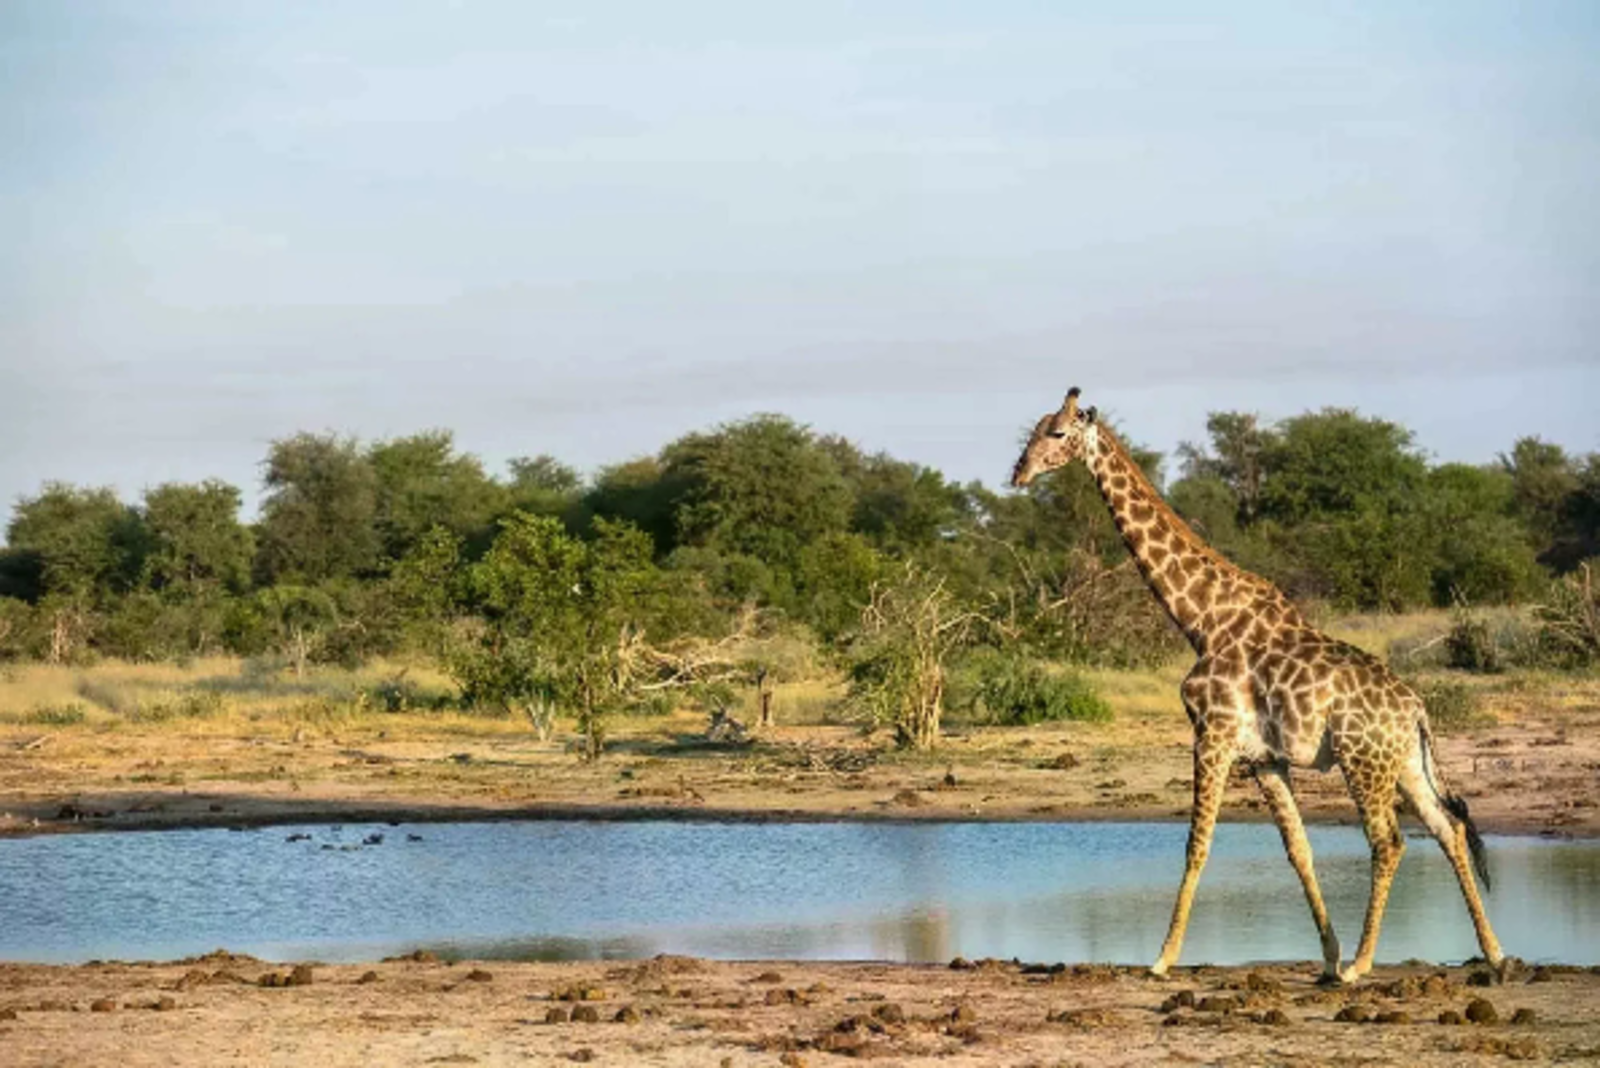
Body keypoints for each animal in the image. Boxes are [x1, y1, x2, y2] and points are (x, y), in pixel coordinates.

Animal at [1010, 388, 1504, 983]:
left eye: (1058, 434)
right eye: (1032, 431)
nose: (1018, 473)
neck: (1201, 620)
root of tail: (1417, 711)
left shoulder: (1213, 735)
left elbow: (1196, 846)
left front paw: (1161, 959)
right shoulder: (1264, 758)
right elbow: (1298, 850)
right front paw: (1327, 955)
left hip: (1361, 761)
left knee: (1388, 842)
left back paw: (1363, 965)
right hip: (1404, 763)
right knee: (1448, 830)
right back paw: (1495, 954)